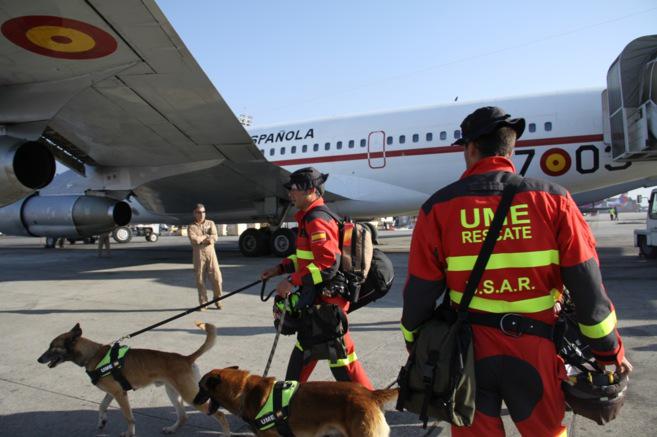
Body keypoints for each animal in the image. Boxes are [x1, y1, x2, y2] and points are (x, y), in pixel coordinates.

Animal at [37, 320, 231, 436]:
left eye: (52, 347)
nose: (38, 359)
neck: (93, 355)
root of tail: (186, 358)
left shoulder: (120, 394)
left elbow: (129, 417)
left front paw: (129, 433)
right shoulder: (113, 392)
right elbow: (102, 406)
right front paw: (101, 421)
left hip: (190, 396)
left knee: (221, 415)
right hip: (174, 393)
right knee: (183, 417)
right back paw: (172, 429)